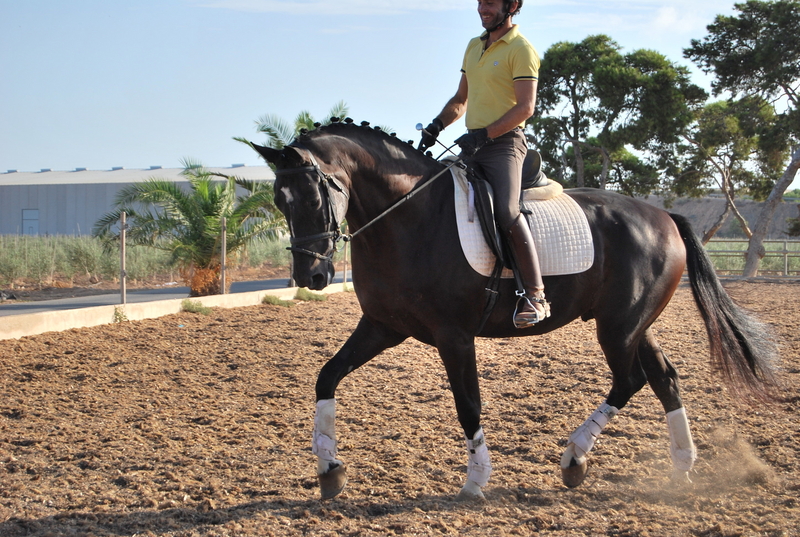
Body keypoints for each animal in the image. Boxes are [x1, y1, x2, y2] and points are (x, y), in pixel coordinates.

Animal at [250, 119, 778, 501]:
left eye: (314, 195)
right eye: (278, 199)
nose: (310, 276)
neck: (408, 218)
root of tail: (663, 215)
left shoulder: (454, 336)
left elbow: (468, 405)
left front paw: (476, 481)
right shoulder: (383, 326)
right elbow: (327, 376)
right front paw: (329, 468)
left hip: (618, 326)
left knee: (630, 380)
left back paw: (575, 459)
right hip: (634, 324)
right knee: (664, 378)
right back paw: (681, 468)